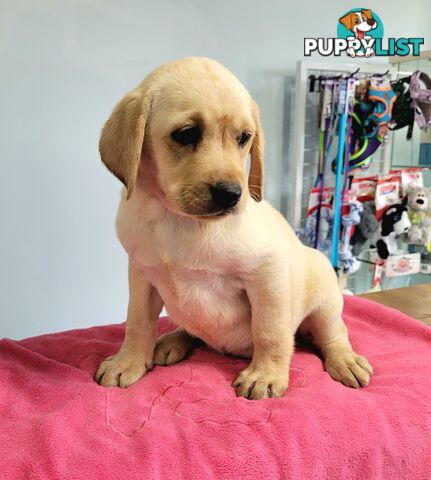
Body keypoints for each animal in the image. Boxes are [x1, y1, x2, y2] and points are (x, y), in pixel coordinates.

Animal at [96, 56, 372, 400]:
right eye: (186, 134)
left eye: (244, 138)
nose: (231, 194)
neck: (178, 219)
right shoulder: (142, 274)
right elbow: (137, 322)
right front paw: (129, 360)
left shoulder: (267, 276)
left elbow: (270, 331)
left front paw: (266, 374)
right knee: (193, 330)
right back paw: (173, 340)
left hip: (324, 301)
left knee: (333, 333)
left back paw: (346, 360)